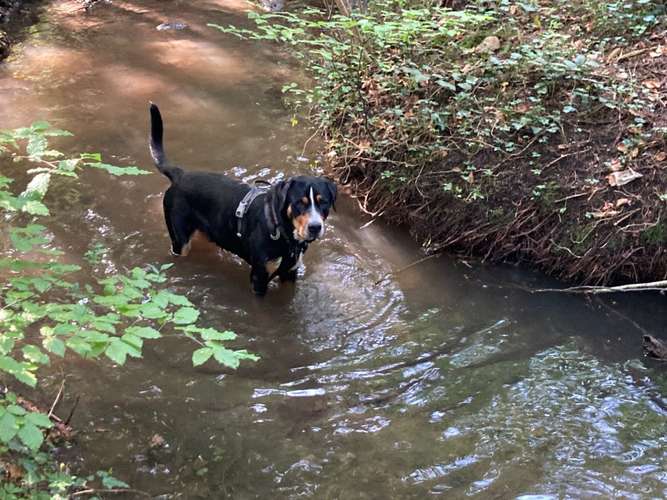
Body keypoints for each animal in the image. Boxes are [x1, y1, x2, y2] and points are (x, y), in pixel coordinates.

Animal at [149, 103, 336, 294]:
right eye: (299, 202)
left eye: (324, 202)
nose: (315, 227)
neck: (283, 232)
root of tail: (181, 175)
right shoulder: (259, 277)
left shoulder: (290, 273)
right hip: (180, 240)